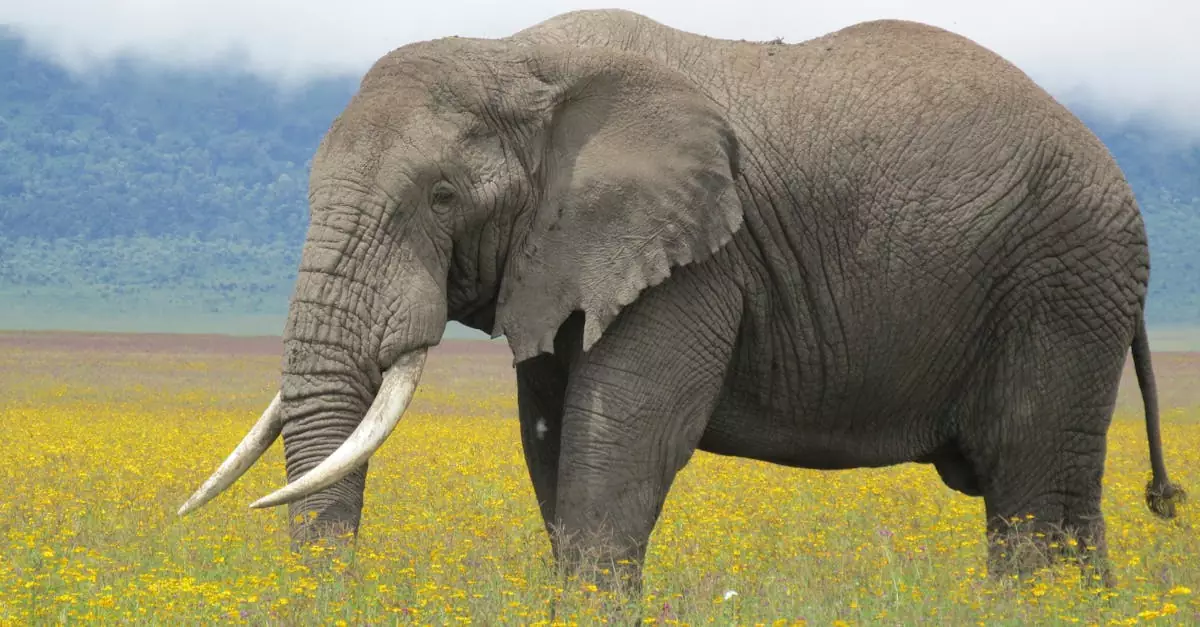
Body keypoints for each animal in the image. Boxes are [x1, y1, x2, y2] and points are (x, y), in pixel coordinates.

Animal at [178, 9, 1184, 591]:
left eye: (440, 198)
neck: (521, 61)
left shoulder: (699, 257)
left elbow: (626, 434)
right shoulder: (563, 257)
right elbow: (551, 437)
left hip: (1062, 283)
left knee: (1030, 496)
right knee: (1063, 502)